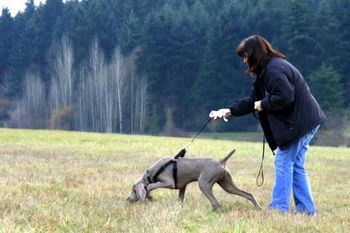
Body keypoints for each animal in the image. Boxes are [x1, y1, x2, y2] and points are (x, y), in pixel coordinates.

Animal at [127, 149, 262, 211]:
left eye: (133, 190)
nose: (127, 199)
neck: (150, 173)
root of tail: (220, 161)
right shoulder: (182, 186)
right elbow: (180, 198)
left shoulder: (169, 182)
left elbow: (150, 186)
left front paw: (149, 196)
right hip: (227, 184)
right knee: (248, 194)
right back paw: (258, 208)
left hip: (204, 183)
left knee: (216, 203)